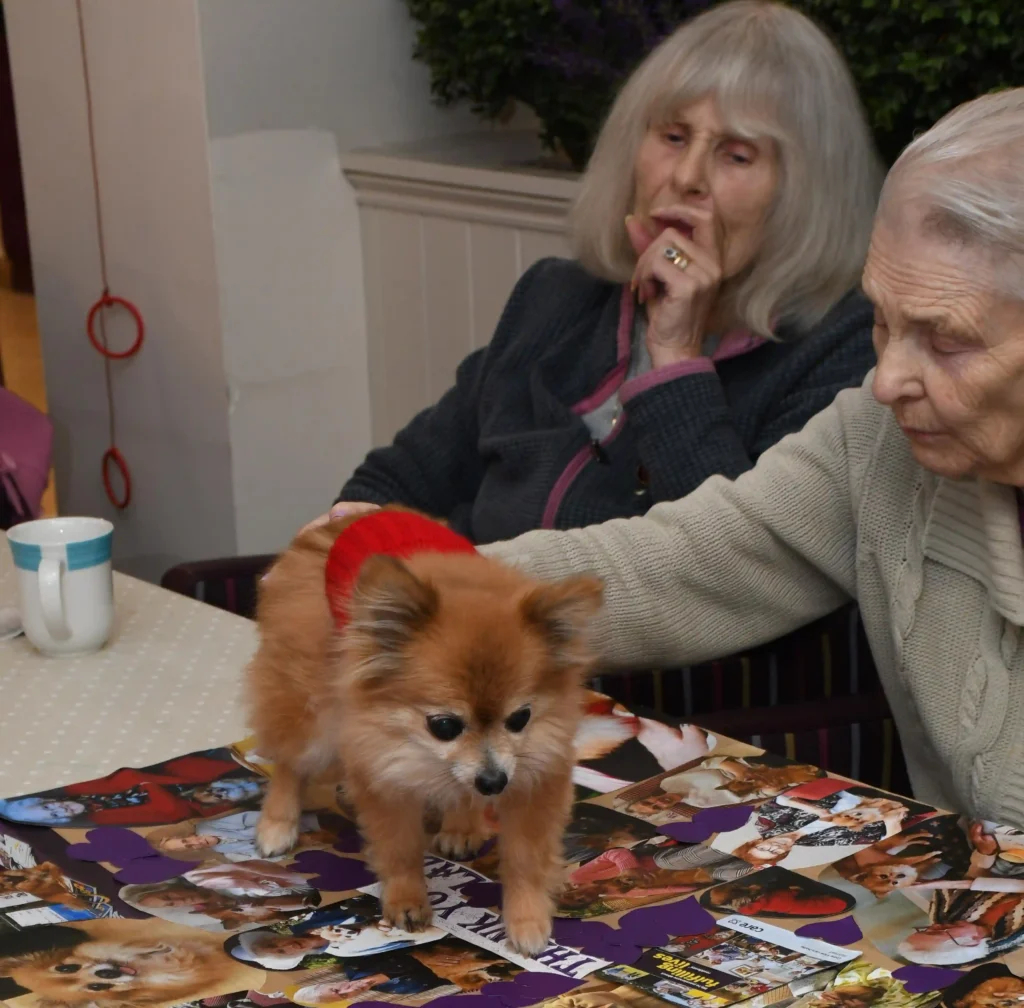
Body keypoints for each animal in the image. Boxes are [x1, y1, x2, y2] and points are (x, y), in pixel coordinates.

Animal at [244, 508, 602, 958]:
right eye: (444, 726)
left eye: (520, 718)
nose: (493, 781)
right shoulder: (382, 768)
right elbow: (399, 849)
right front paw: (407, 899)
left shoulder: (536, 773)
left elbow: (526, 858)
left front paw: (527, 920)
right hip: (311, 708)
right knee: (291, 762)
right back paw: (277, 823)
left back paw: (462, 825)